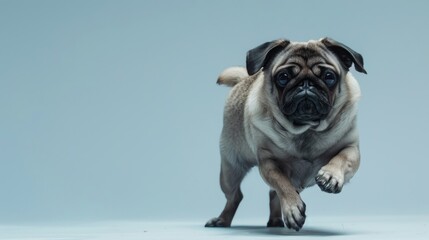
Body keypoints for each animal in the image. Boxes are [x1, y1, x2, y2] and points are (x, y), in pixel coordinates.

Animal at [206, 37, 366, 231]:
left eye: (329, 77)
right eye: (283, 77)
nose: (306, 84)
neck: (306, 129)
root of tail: (244, 79)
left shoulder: (352, 148)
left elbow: (342, 158)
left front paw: (330, 175)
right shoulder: (268, 162)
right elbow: (282, 184)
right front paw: (292, 207)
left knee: (272, 195)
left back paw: (275, 221)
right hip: (230, 170)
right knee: (235, 196)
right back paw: (222, 220)